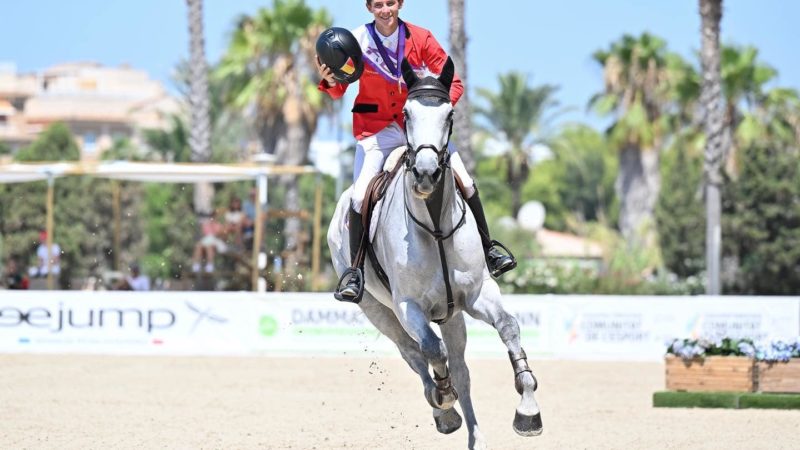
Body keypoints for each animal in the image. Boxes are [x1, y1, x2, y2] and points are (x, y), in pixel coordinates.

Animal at [326, 58, 544, 448]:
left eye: (449, 114)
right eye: (407, 114)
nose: (425, 174)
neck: (436, 225)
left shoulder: (477, 294)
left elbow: (508, 327)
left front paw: (528, 408)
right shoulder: (408, 306)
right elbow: (430, 349)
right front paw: (443, 399)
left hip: (452, 314)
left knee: (461, 369)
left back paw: (476, 436)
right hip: (377, 310)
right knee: (413, 353)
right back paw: (443, 410)